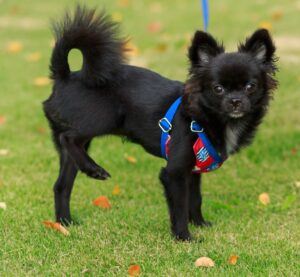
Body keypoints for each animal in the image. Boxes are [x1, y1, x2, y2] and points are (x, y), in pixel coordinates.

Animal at [43, 5, 278, 239]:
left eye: (250, 86)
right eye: (218, 88)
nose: (235, 101)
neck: (207, 117)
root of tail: (66, 76)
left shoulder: (192, 173)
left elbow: (195, 199)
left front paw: (200, 224)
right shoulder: (173, 173)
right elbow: (180, 206)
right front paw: (184, 236)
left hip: (76, 150)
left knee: (61, 185)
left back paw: (65, 222)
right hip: (103, 118)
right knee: (68, 137)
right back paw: (93, 169)